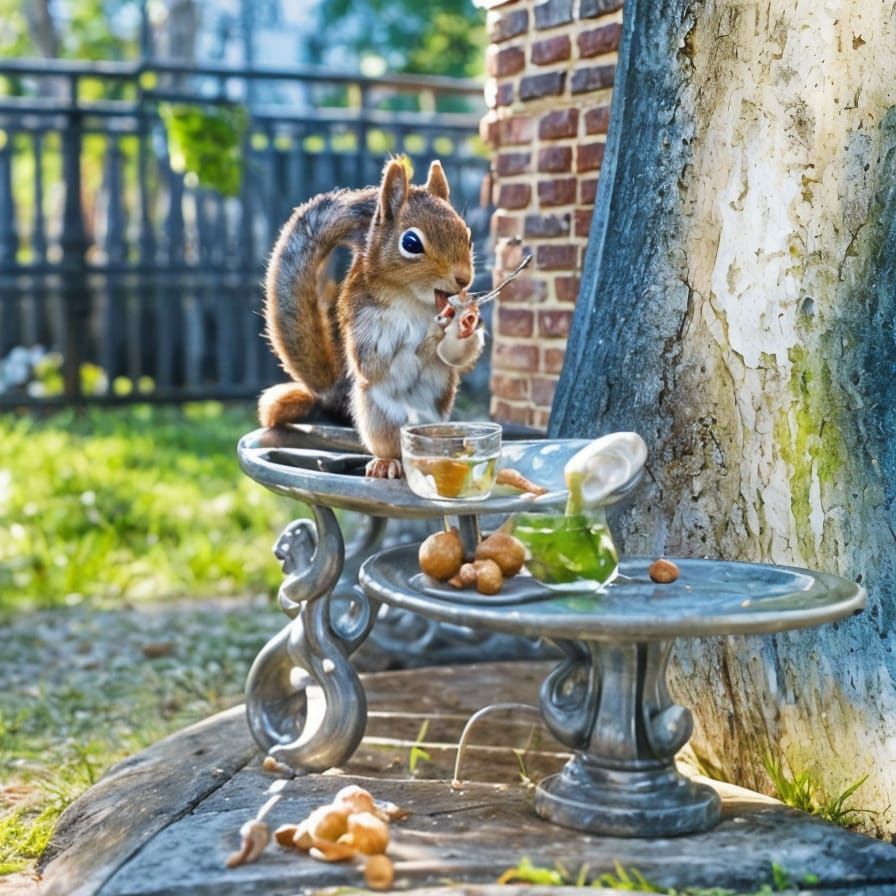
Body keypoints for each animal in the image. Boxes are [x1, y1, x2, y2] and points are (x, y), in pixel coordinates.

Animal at [259, 158, 485, 478]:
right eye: (411, 243)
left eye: (468, 235)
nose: (464, 279)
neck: (415, 301)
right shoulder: (366, 324)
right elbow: (378, 362)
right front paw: (432, 333)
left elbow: (457, 359)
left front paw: (468, 325)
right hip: (379, 415)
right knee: (393, 445)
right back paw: (387, 463)